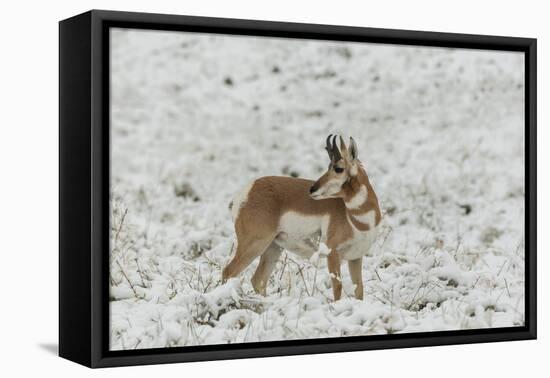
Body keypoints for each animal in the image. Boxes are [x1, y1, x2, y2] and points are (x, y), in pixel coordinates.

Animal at [222, 134, 382, 300]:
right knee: (228, 272)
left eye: (338, 168)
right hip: (255, 244)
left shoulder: (356, 258)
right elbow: (337, 288)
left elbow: (359, 289)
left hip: (273, 247)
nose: (312, 189)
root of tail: (246, 192)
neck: (359, 218)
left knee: (258, 280)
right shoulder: (332, 254)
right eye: (329, 167)